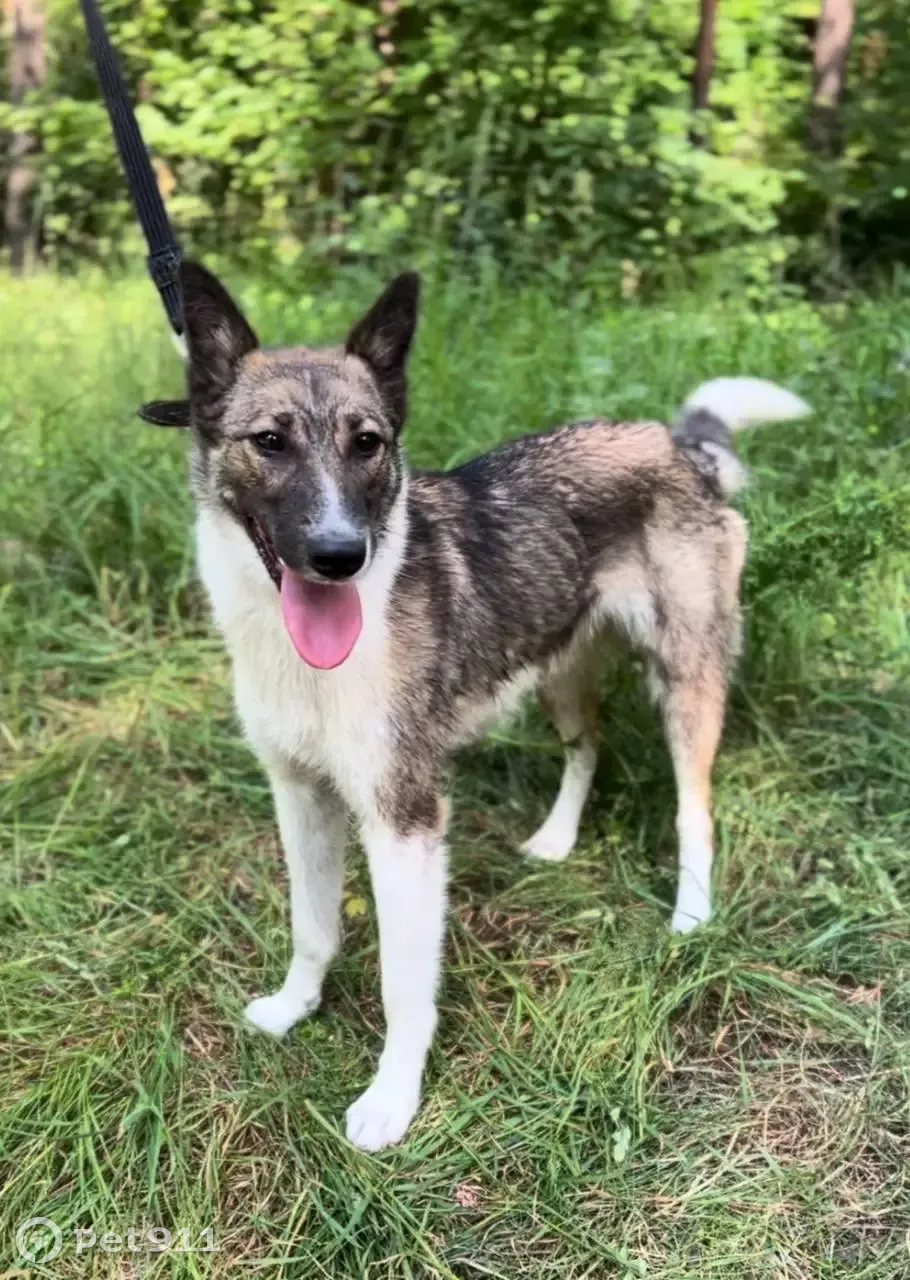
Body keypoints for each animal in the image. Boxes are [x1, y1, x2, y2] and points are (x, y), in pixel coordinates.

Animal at [140, 259, 814, 1152]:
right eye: (269, 442)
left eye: (368, 443)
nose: (339, 555)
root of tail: (679, 445)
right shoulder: (300, 795)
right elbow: (312, 926)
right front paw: (293, 1008)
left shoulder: (406, 821)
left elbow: (402, 981)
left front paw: (392, 1098)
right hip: (557, 668)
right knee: (587, 746)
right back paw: (558, 839)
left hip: (687, 679)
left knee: (693, 807)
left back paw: (692, 916)